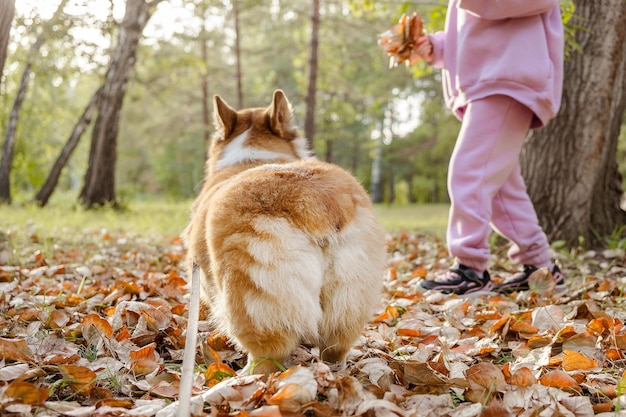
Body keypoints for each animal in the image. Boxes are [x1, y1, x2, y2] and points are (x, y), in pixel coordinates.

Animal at [183, 88, 382, 374]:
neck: (253, 155)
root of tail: (316, 200)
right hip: (348, 300)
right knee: (335, 349)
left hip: (250, 296)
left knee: (267, 358)